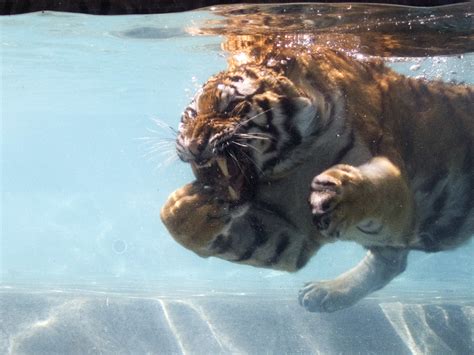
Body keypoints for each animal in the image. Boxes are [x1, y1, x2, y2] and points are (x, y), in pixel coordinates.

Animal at [160, 32, 474, 314]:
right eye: (191, 115)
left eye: (232, 107)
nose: (193, 145)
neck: (294, 163)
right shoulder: (295, 237)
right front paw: (184, 209)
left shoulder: (401, 204)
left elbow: (379, 188)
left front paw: (343, 196)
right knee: (392, 262)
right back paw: (325, 293)